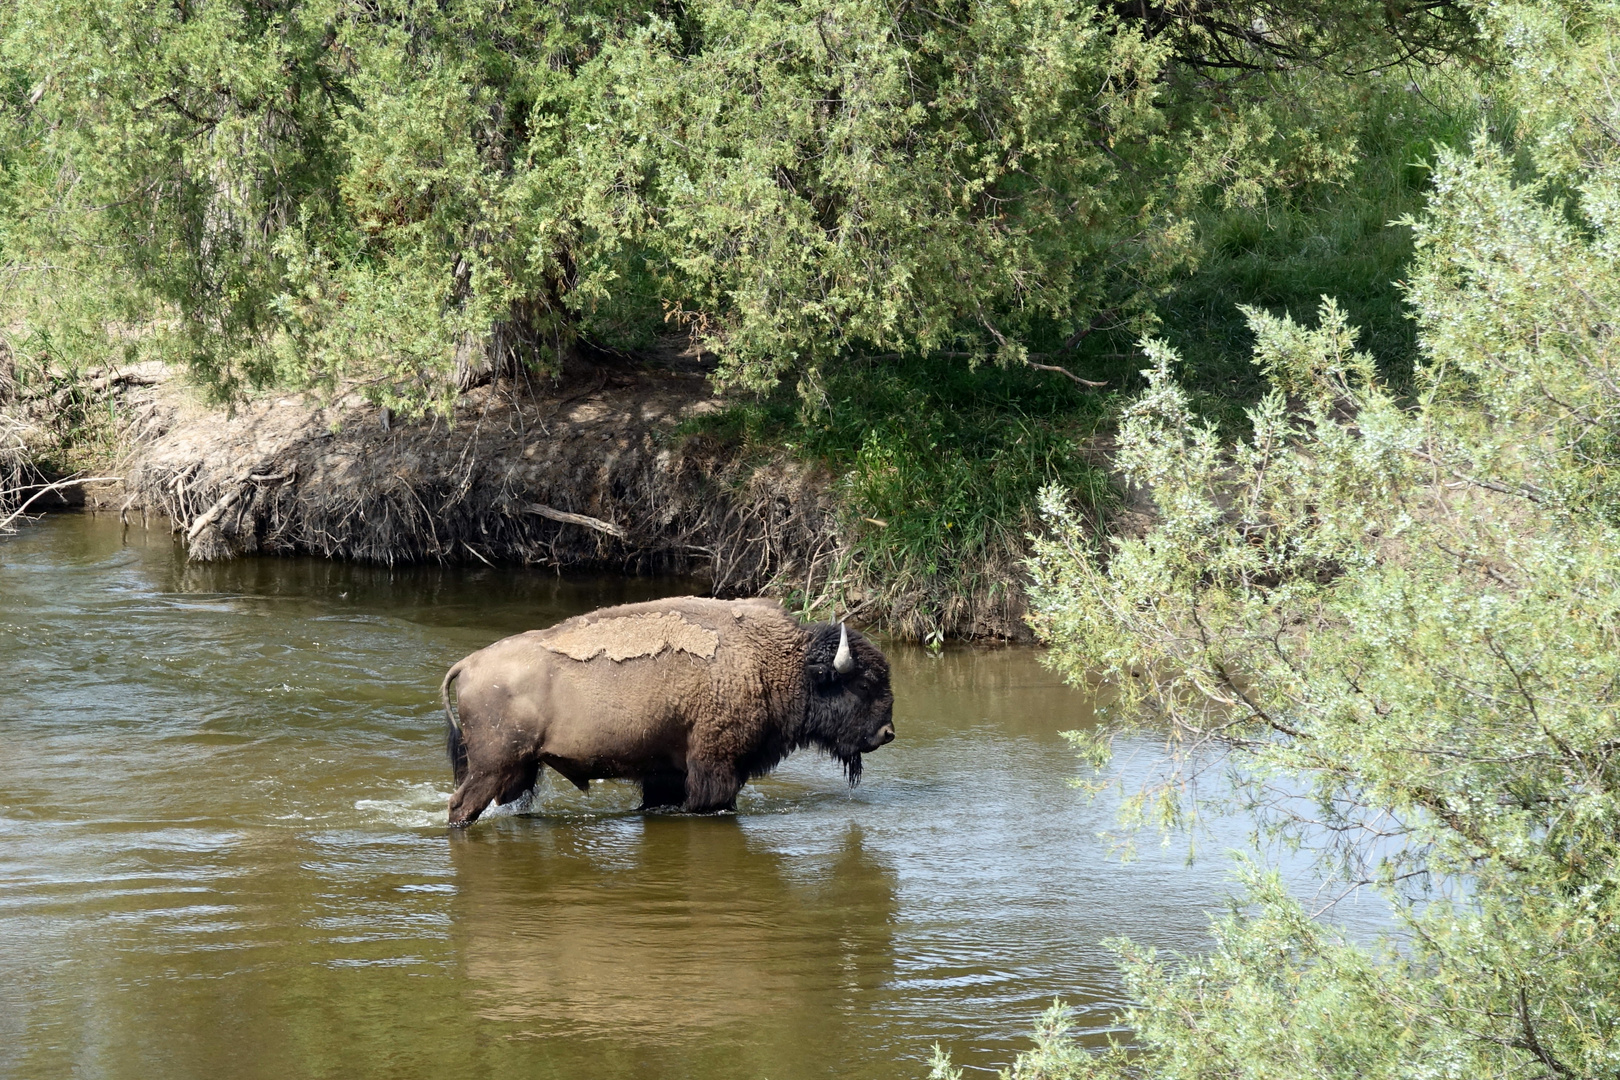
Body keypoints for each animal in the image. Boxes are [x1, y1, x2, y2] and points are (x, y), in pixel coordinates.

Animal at [437, 595, 894, 822]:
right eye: (864, 683)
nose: (887, 733)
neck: (776, 661)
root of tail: (468, 664)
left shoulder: (668, 771)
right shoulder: (715, 764)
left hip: (519, 770)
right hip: (491, 767)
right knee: (460, 806)